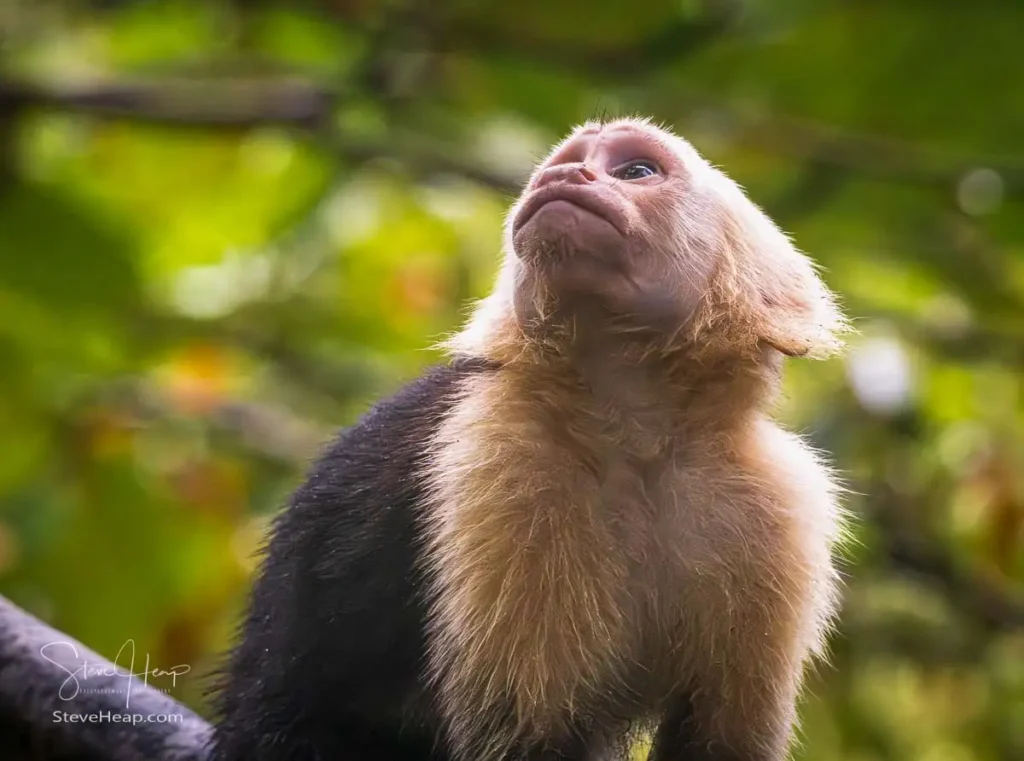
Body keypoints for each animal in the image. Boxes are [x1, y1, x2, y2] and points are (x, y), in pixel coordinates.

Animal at [210, 116, 849, 761]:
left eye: (636, 171)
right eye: (563, 165)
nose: (566, 176)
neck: (634, 436)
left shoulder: (780, 505)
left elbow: (720, 741)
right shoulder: (497, 459)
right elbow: (523, 735)